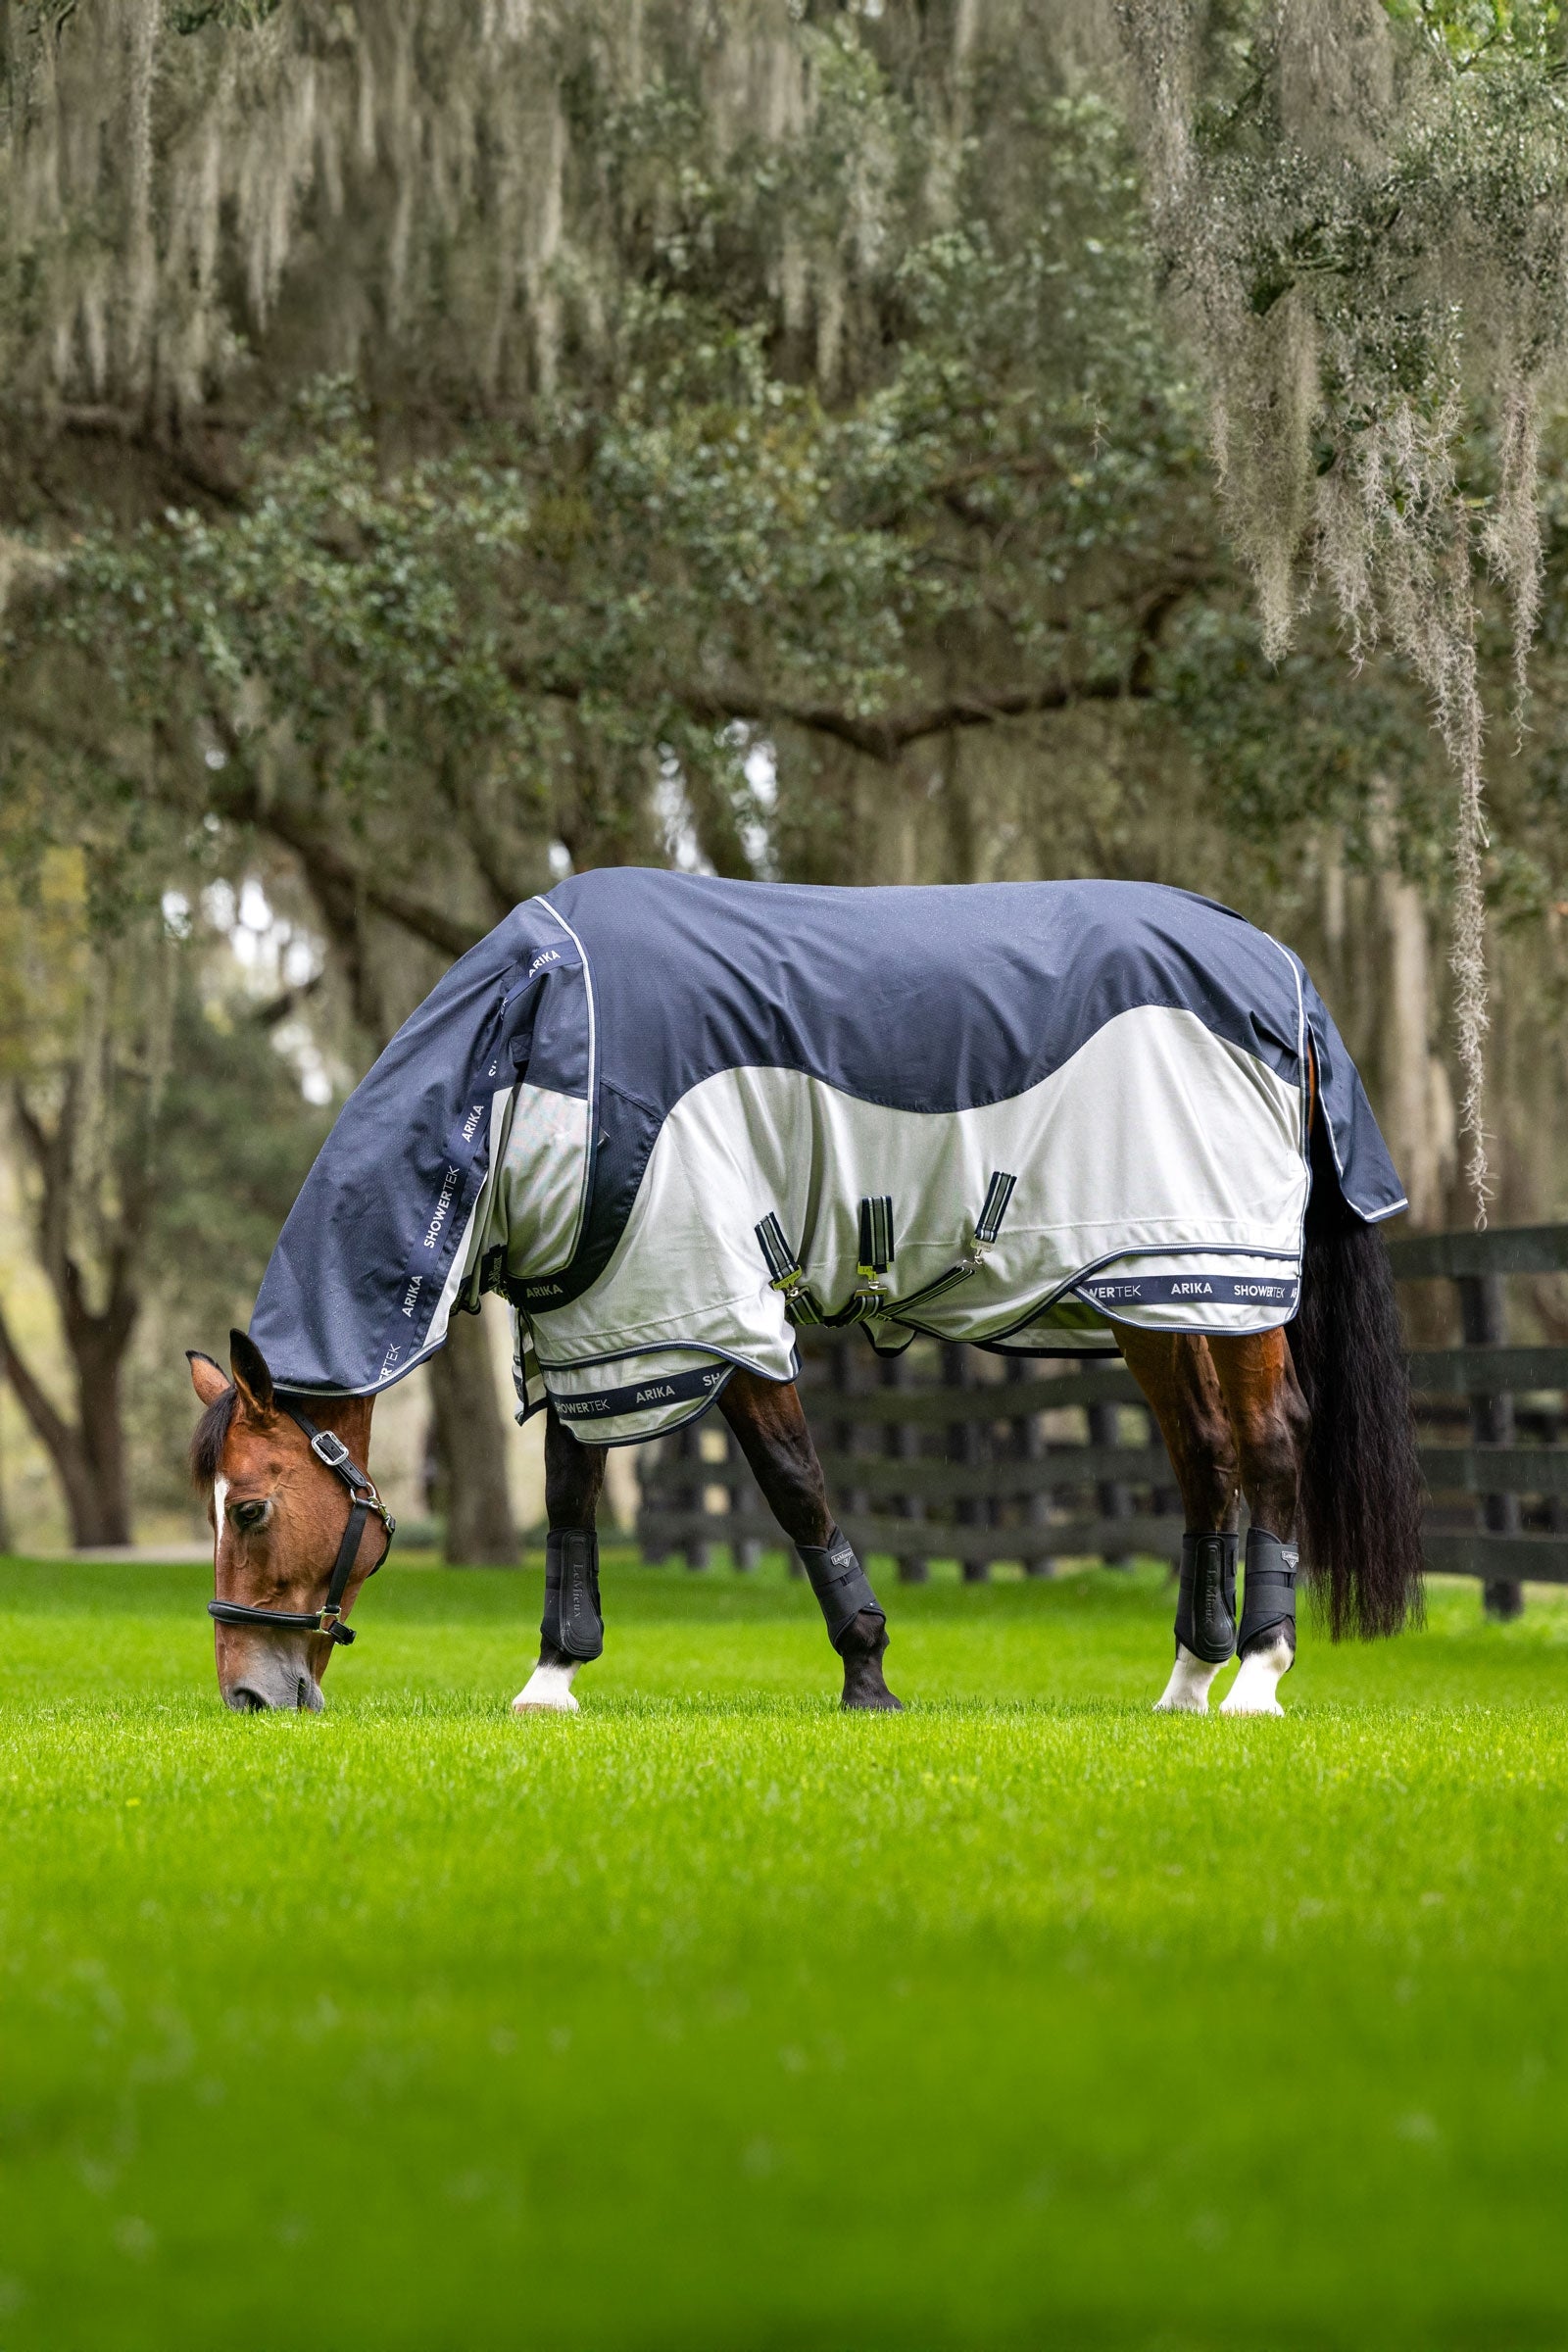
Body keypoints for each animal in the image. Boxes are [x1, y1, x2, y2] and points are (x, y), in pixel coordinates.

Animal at [188, 870, 1425, 1715]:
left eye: (250, 1508)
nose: (249, 1695)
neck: (534, 1055)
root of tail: (1281, 974)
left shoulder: (710, 1309)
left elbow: (796, 1490)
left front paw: (867, 1672)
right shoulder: (607, 1323)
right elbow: (573, 1496)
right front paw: (551, 1679)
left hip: (1232, 1290)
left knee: (1269, 1443)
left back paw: (1258, 1675)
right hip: (1155, 1295)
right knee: (1205, 1460)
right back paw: (1183, 1687)